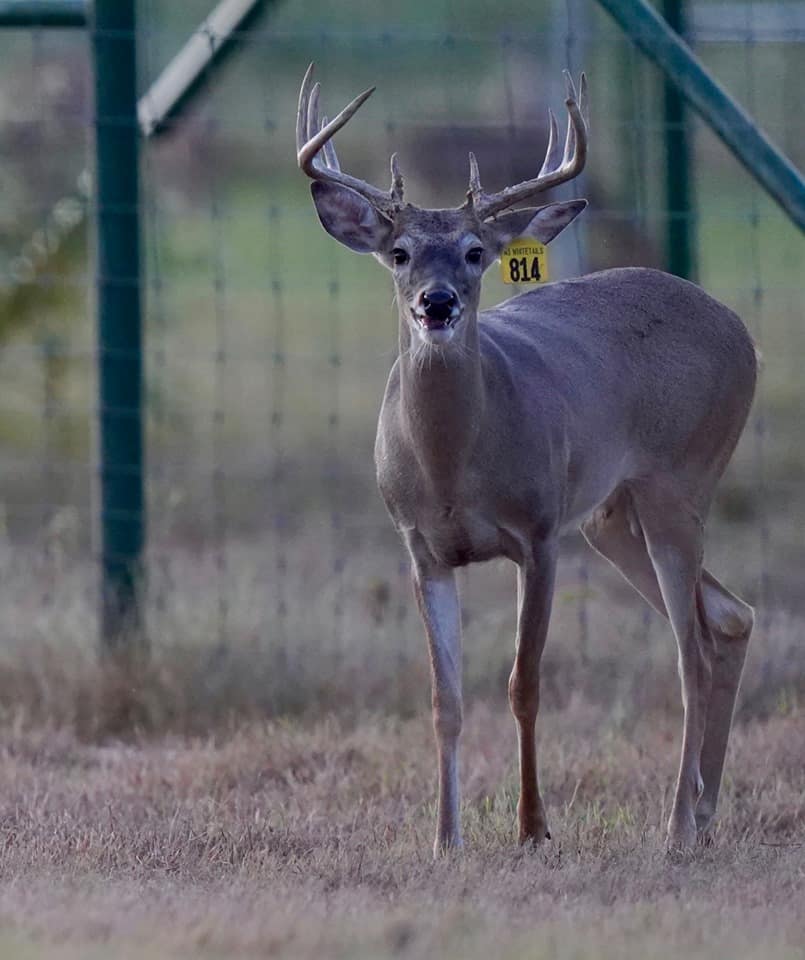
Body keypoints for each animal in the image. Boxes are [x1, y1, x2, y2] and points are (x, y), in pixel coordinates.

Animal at [296, 64, 757, 856]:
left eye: (475, 251)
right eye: (399, 252)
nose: (437, 303)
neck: (453, 470)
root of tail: (739, 330)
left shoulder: (539, 533)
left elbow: (524, 683)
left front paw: (534, 828)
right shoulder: (420, 547)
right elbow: (444, 697)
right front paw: (445, 838)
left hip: (683, 478)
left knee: (691, 648)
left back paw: (673, 829)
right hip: (610, 515)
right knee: (728, 617)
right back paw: (702, 817)